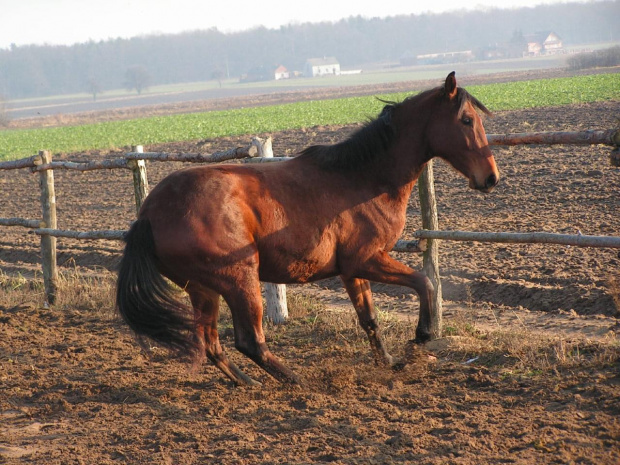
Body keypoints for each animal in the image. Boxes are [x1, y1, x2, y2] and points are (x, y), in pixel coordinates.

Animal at [116, 72, 498, 384]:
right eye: (467, 120)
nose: (491, 178)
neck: (362, 178)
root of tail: (148, 215)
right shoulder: (367, 259)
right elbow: (425, 282)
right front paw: (421, 336)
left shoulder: (351, 271)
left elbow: (370, 319)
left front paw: (390, 362)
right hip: (240, 279)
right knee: (249, 341)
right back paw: (295, 380)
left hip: (203, 289)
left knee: (211, 344)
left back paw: (249, 382)